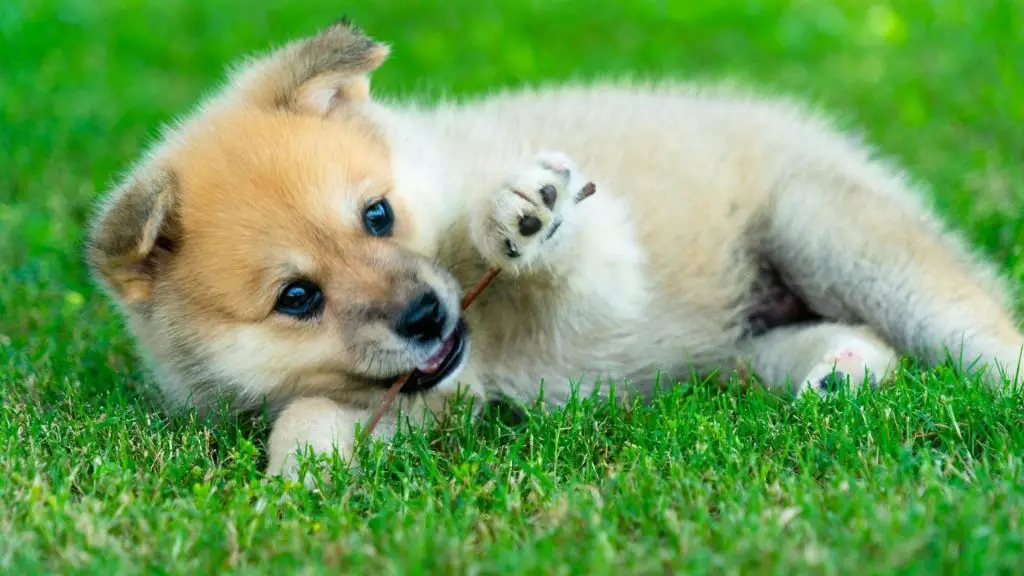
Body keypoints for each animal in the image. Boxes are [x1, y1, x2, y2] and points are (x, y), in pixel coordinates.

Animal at [86, 21, 1024, 479]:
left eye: (377, 215)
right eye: (297, 298)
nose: (425, 315)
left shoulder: (602, 281)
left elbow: (569, 253)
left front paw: (521, 213)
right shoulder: (432, 400)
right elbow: (308, 412)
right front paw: (303, 471)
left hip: (832, 234)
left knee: (983, 332)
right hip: (752, 329)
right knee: (832, 345)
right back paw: (836, 368)